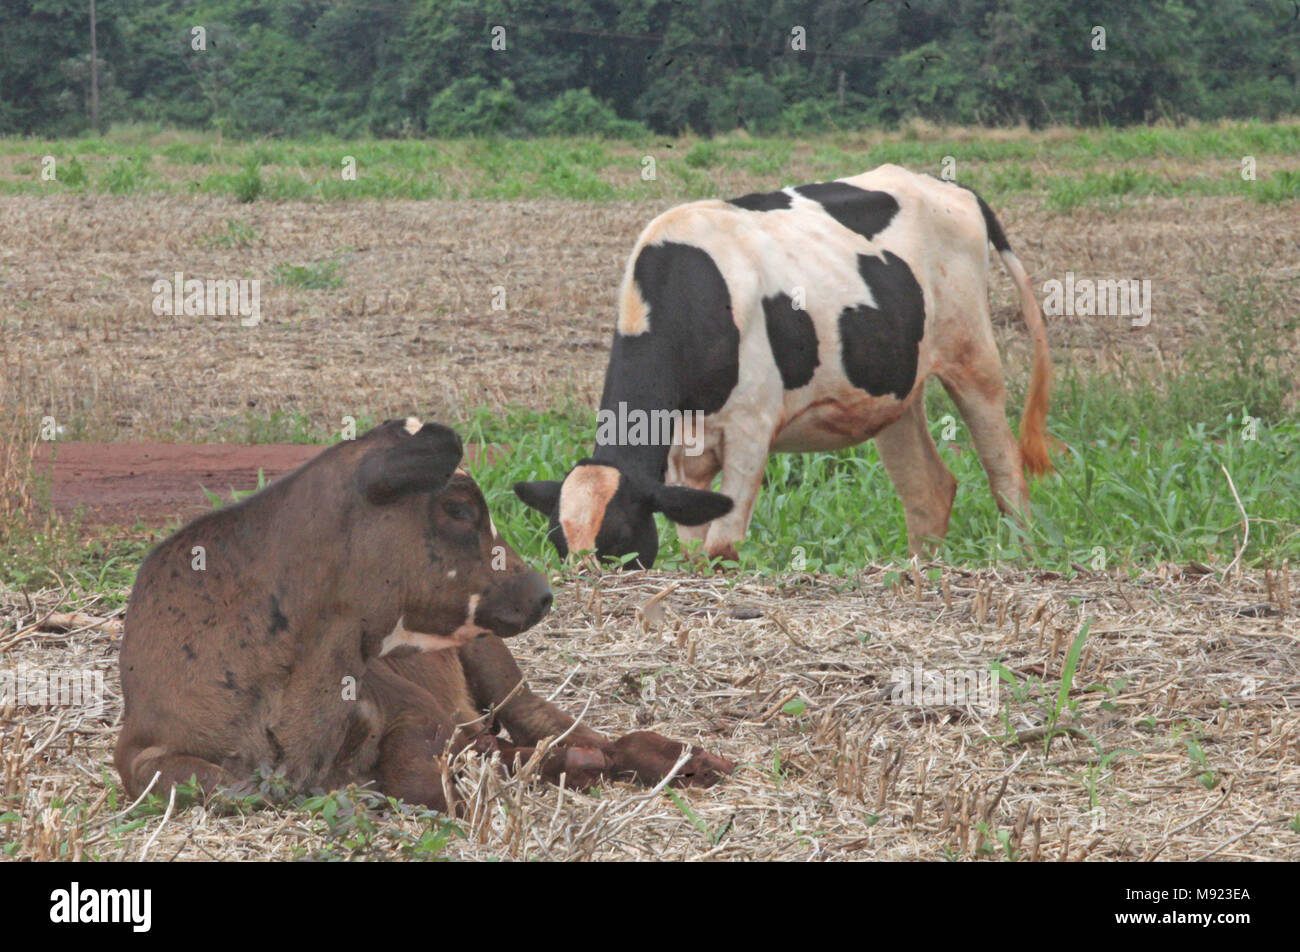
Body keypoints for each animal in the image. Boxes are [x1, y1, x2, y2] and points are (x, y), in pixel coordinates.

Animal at [114, 416, 733, 811]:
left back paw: (682, 759)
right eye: (458, 509)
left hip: (497, 666)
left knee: (565, 728)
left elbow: (423, 771)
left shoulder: (419, 712)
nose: (540, 590)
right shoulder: (141, 751)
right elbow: (200, 782)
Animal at [512, 164, 1050, 569]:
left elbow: (721, 547)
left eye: (621, 540)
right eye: (559, 543)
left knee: (1006, 471)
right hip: (894, 393)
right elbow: (693, 547)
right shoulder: (681, 451)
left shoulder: (751, 430)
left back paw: (1022, 558)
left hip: (973, 357)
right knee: (928, 492)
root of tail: (951, 187)